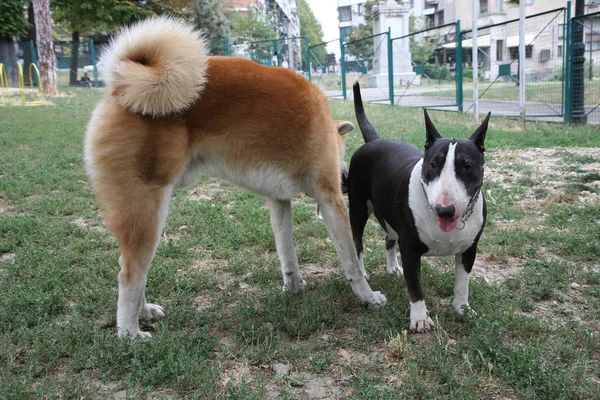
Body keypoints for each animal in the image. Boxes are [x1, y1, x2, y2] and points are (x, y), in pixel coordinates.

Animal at [84, 18, 384, 338]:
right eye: (343, 151)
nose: (346, 178)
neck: (323, 123)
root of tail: (120, 88)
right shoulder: (330, 199)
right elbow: (353, 262)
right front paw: (367, 296)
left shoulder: (279, 201)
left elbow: (287, 254)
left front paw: (294, 287)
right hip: (148, 209)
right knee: (130, 274)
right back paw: (130, 332)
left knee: (130, 266)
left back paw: (144, 312)